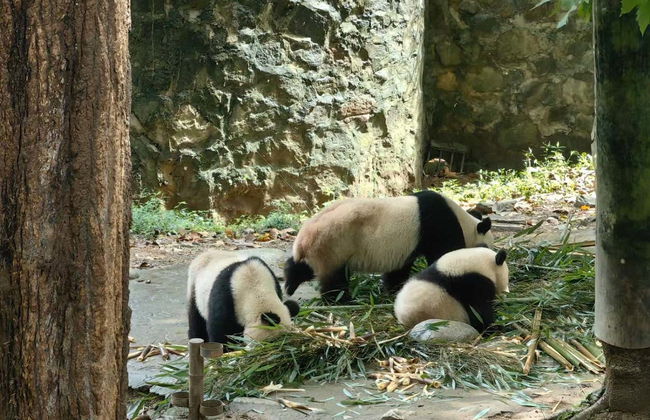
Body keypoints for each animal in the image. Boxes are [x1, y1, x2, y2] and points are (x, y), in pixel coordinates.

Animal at [284, 190, 494, 301]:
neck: (463, 221)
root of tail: (303, 238)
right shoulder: (439, 226)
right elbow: (444, 255)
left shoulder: (406, 247)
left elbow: (399, 269)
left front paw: (394, 290)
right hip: (333, 244)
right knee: (334, 279)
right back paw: (340, 300)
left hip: (321, 249)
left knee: (303, 267)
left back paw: (290, 285)